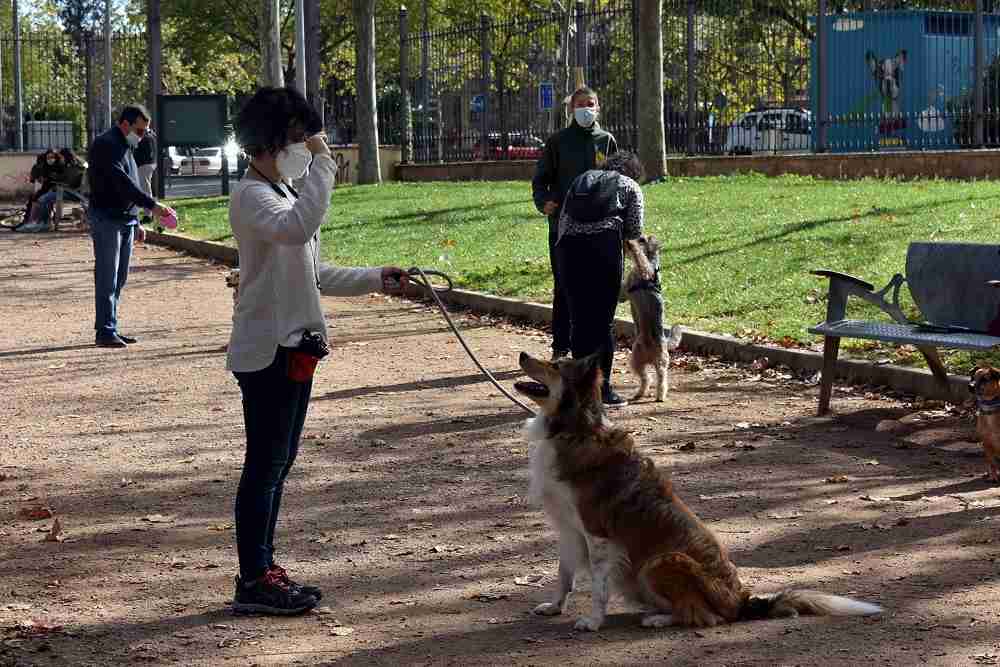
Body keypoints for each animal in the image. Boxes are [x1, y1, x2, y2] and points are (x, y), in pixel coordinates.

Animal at [520, 352, 880, 636]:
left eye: (555, 365)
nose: (523, 355)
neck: (574, 430)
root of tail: (741, 603)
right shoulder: (568, 529)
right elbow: (564, 574)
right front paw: (555, 606)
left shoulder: (597, 535)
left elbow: (598, 587)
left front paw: (594, 622)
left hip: (660, 561)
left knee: (705, 617)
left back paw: (660, 619)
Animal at [620, 235, 684, 402]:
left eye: (642, 239)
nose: (626, 242)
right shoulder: (625, 293)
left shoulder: (645, 270)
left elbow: (639, 257)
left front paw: (632, 245)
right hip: (648, 361)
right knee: (654, 378)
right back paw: (650, 394)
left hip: (646, 360)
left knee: (653, 378)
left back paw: (650, 394)